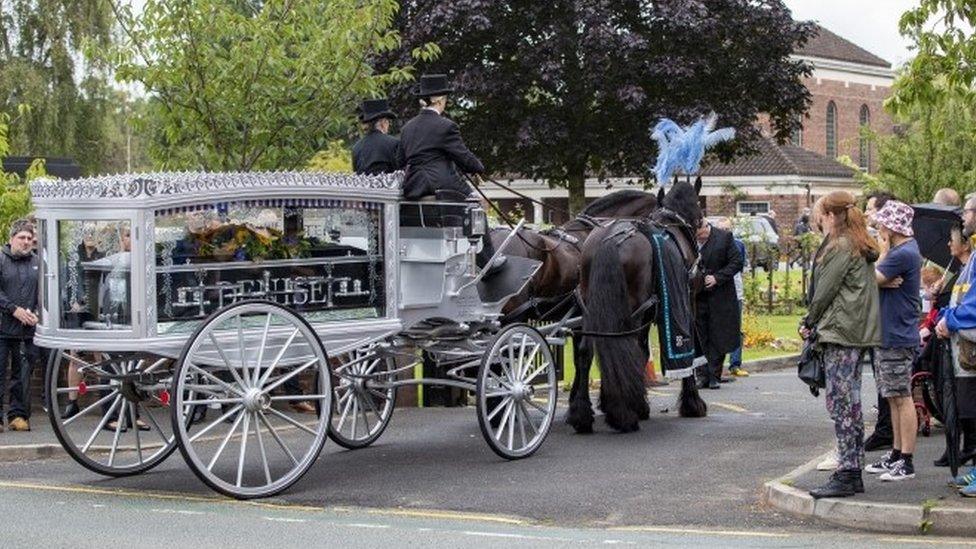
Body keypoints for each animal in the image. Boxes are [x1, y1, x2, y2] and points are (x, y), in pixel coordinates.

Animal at [568, 179, 704, 432]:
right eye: (700, 204)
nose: (702, 226)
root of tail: (609, 240)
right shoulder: (685, 304)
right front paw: (692, 403)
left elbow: (637, 353)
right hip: (633, 311)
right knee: (622, 346)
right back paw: (624, 415)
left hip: (592, 309)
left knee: (586, 351)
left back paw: (582, 415)